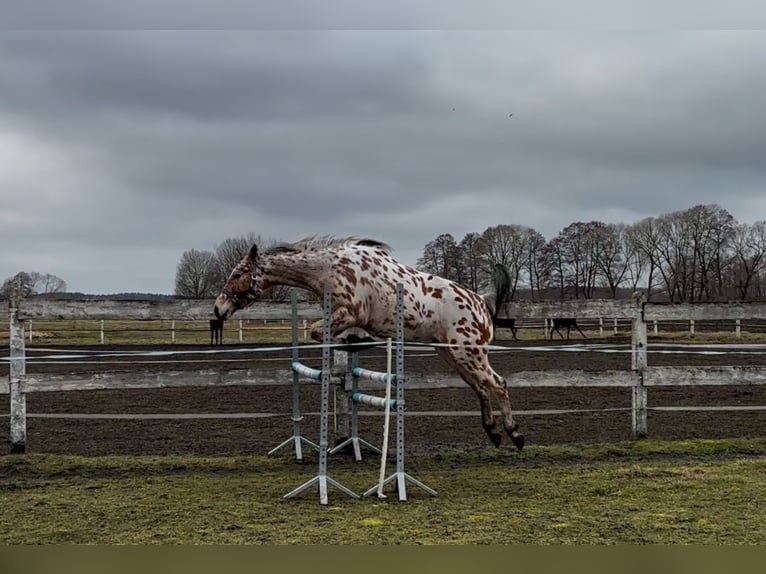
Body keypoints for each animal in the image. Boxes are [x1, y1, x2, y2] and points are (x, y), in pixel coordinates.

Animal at [216, 236, 528, 452]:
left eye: (237, 274)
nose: (219, 309)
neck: (329, 269)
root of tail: (481, 303)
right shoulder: (341, 316)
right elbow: (324, 335)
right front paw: (354, 343)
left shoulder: (350, 314)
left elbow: (319, 333)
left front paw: (357, 342)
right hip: (452, 355)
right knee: (481, 388)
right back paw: (493, 433)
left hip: (469, 353)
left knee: (498, 384)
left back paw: (515, 434)